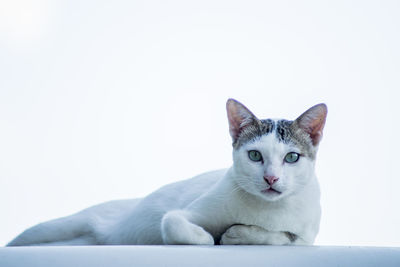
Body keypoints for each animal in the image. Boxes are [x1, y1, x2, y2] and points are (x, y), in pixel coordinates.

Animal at [6, 99, 326, 247]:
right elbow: (174, 223)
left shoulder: (306, 237)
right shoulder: (184, 214)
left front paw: (237, 234)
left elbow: (282, 236)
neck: (263, 210)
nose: (271, 178)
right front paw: (209, 238)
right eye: (255, 155)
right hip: (53, 227)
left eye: (292, 157)